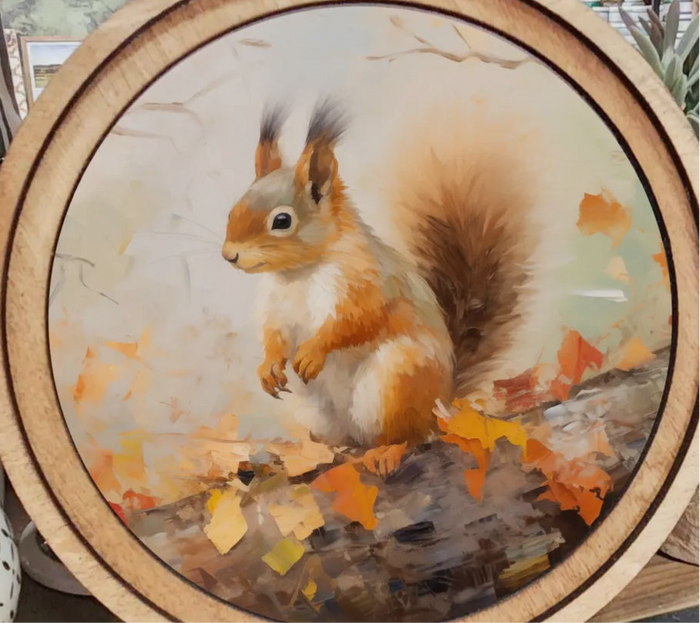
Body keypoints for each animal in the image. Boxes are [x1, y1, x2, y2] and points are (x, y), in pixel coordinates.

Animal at [222, 98, 542, 469]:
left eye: (282, 221)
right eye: (232, 210)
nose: (229, 255)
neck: (299, 273)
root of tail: (443, 405)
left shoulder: (367, 283)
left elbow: (358, 320)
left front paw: (313, 352)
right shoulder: (275, 306)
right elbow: (275, 334)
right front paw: (269, 367)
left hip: (396, 380)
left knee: (408, 435)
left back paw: (387, 451)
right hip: (314, 409)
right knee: (345, 442)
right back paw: (322, 453)